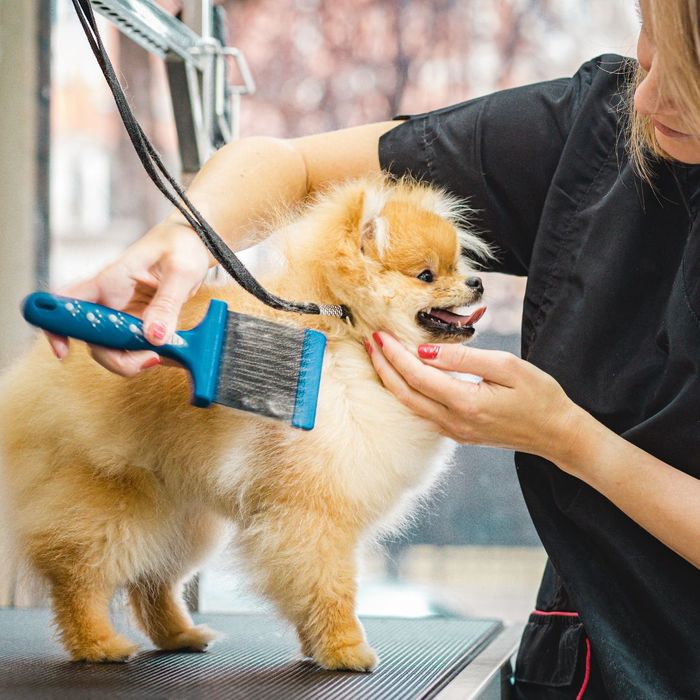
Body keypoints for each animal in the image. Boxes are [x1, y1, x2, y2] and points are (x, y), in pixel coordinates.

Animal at [0, 178, 490, 668]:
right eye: (427, 275)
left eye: (458, 265)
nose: (478, 281)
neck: (348, 338)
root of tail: (33, 373)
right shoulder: (312, 513)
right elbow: (328, 589)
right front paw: (344, 647)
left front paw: (316, 647)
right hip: (112, 507)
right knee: (79, 578)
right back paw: (97, 644)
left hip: (182, 519)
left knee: (153, 581)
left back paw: (180, 634)